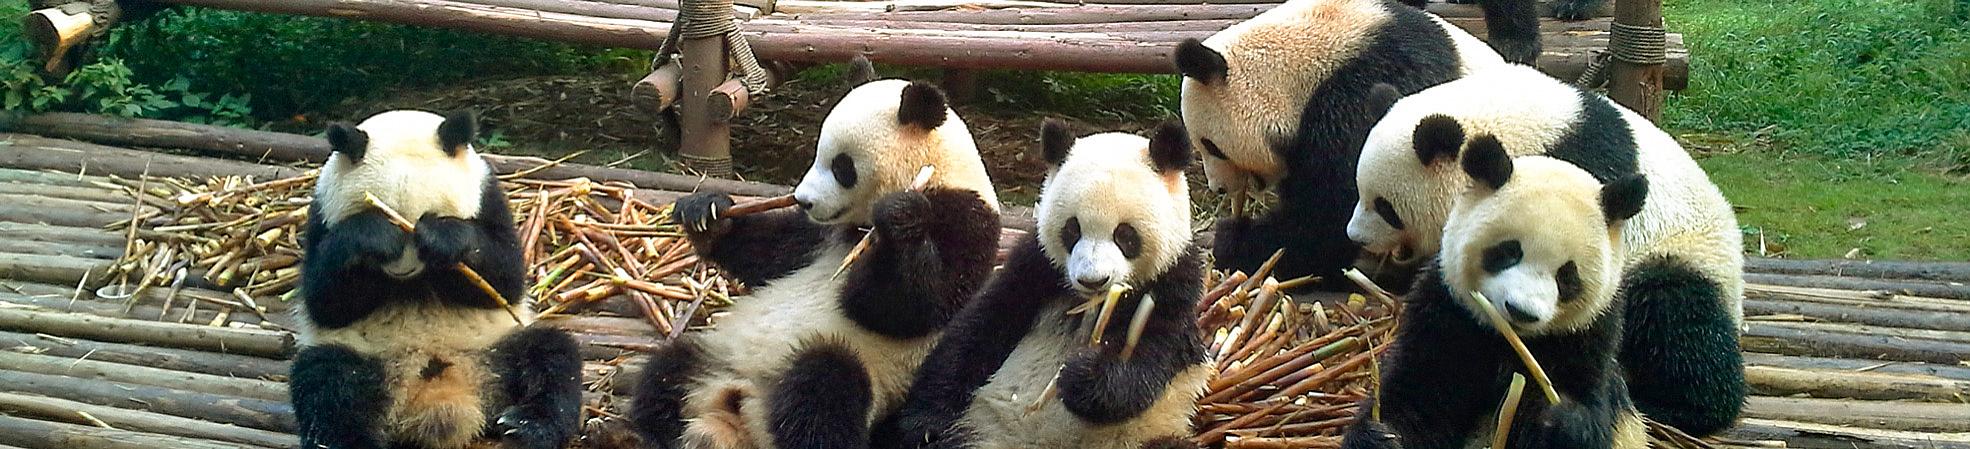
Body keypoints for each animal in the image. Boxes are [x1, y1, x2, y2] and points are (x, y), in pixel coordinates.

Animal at [289, 109, 583, 449]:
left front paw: (441, 237)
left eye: (425, 218)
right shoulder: (321, 212)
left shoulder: (488, 198)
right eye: (385, 214)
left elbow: (505, 280)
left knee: (553, 356)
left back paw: (525, 425)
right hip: (366, 357)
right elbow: (324, 300)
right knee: (326, 380)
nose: (402, 269)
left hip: (496, 348)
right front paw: (374, 235)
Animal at [627, 57, 1004, 449]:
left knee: (823, 386)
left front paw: (899, 217)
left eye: (842, 167)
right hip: (717, 353)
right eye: (817, 153)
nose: (803, 200)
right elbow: (771, 253)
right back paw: (652, 427)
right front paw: (706, 213)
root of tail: (737, 410)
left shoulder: (965, 219)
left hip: (864, 371)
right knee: (669, 371)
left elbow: (912, 305)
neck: (938, 173)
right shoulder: (819, 234)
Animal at [871, 120, 1210, 449]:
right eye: (1072, 230)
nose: (1093, 280)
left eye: (1125, 235)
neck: (1087, 304)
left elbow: (1150, 357)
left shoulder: (1173, 285)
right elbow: (976, 330)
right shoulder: (1036, 267)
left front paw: (1082, 375)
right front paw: (924, 424)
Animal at [1342, 148, 1652, 449]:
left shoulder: (1586, 338)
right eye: (1509, 251)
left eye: (1567, 276)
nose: (1521, 311)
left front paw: (1559, 421)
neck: (1509, 342)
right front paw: (1379, 435)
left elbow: (1587, 408)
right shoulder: (1446, 314)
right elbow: (1419, 391)